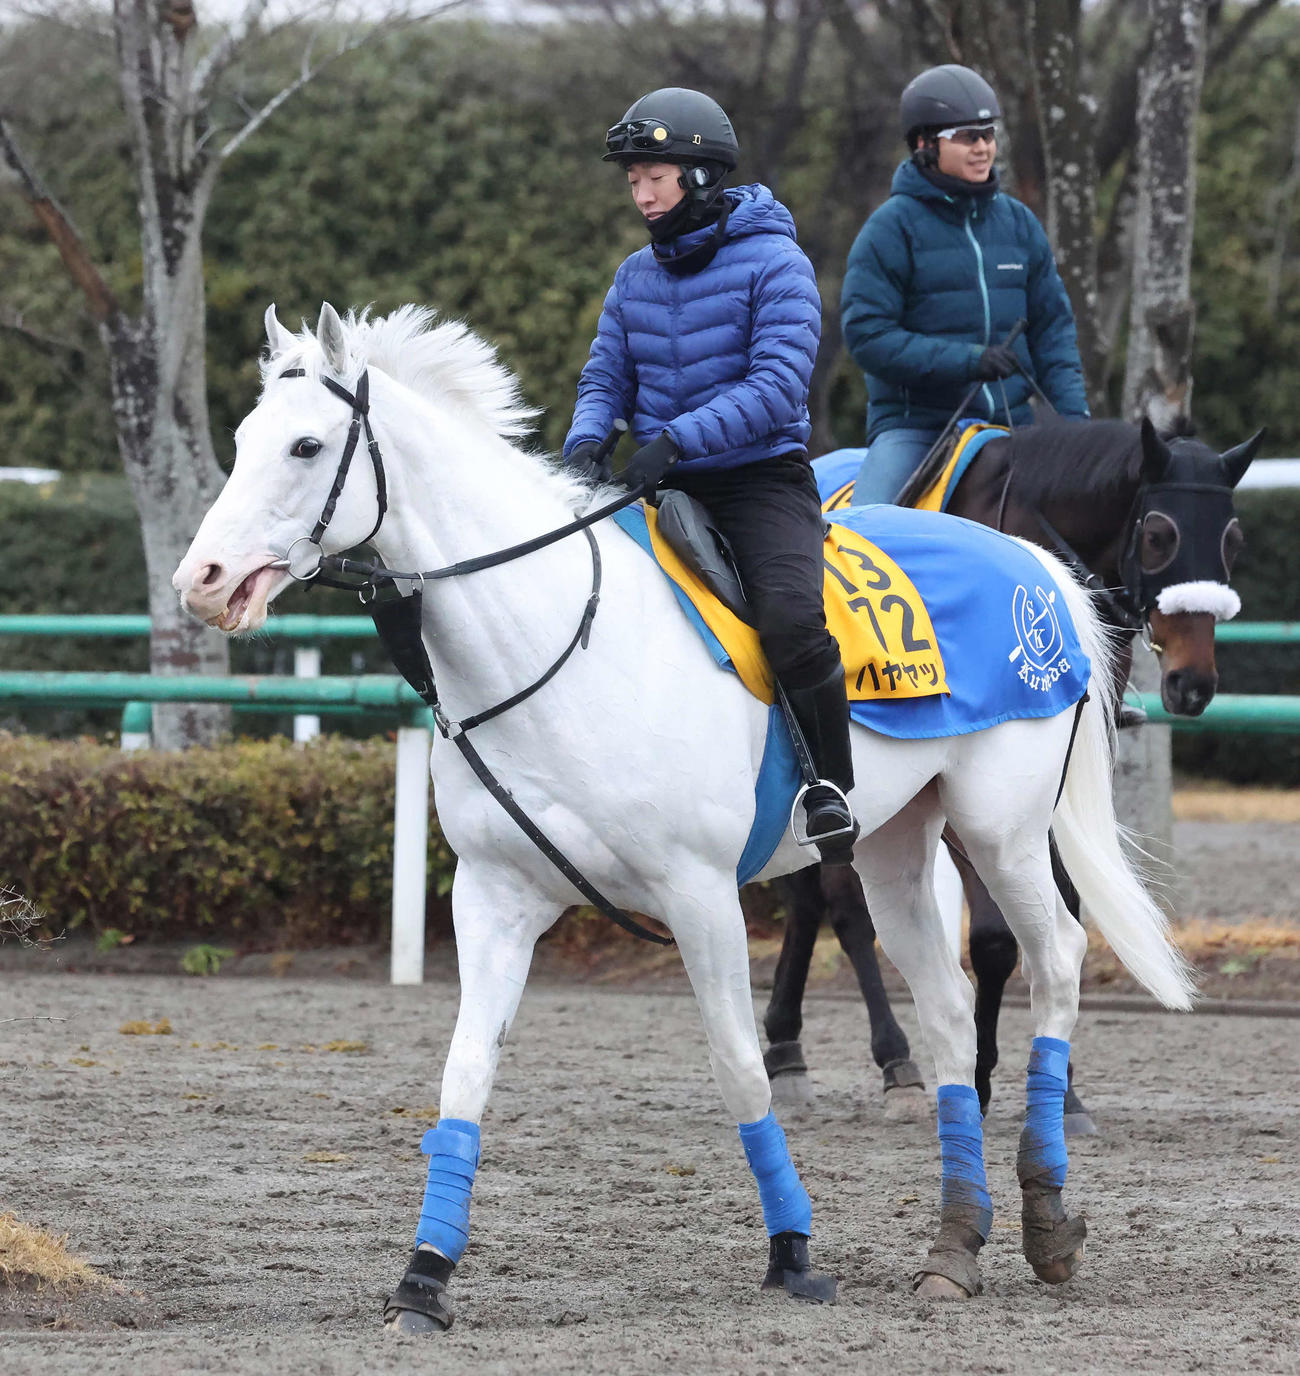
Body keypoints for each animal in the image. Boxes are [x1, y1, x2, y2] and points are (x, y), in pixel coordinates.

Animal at [172, 302, 1195, 1323]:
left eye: (307, 445)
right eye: (243, 440)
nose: (202, 579)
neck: (559, 642)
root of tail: (1035, 565)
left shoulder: (699, 896)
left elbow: (740, 1068)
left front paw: (792, 1253)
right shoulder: (495, 898)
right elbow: (464, 1076)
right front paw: (424, 1276)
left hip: (1001, 834)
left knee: (1055, 963)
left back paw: (1046, 1215)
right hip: (895, 847)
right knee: (945, 1014)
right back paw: (955, 1243)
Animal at [762, 419, 1261, 1126]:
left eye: (1233, 538)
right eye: (1160, 534)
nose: (1193, 684)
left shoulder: (1047, 797)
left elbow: (1058, 915)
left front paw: (1062, 1084)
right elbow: (996, 938)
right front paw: (981, 1075)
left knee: (810, 901)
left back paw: (788, 1047)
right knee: (843, 907)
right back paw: (887, 1058)